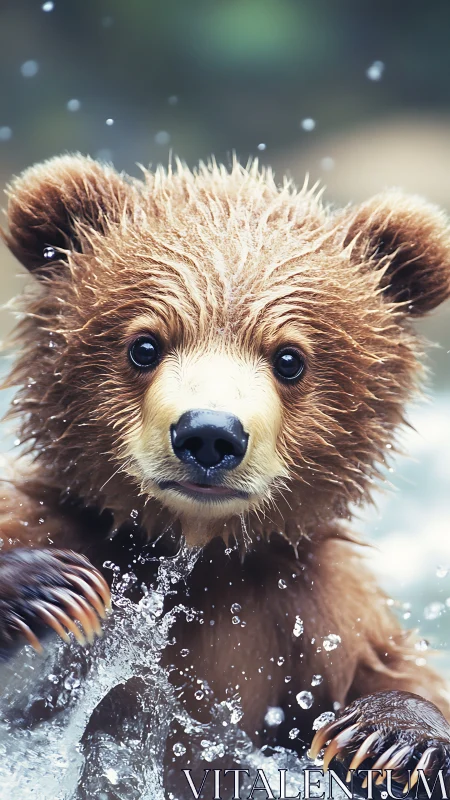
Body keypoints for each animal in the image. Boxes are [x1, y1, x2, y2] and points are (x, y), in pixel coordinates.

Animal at [0, 154, 450, 796]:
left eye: (290, 358)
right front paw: (48, 585)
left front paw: (392, 736)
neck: (196, 551)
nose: (209, 433)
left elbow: (392, 670)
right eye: (144, 345)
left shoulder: (314, 616)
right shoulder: (55, 524)